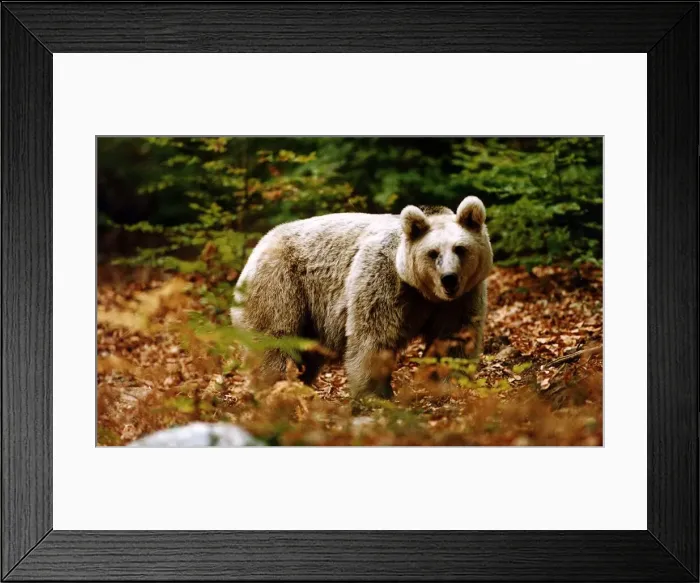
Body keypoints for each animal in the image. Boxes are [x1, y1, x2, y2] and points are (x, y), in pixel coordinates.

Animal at [230, 196, 493, 399]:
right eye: (433, 253)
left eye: (460, 249)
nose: (449, 279)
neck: (423, 291)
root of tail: (258, 246)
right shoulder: (383, 279)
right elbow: (372, 338)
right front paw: (375, 394)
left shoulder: (461, 298)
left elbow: (454, 339)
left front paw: (451, 385)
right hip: (282, 285)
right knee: (274, 341)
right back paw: (272, 388)